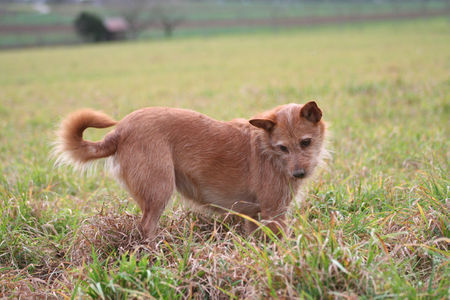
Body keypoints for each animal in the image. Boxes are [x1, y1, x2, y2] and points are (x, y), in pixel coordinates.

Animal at [54, 102, 326, 238]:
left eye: (305, 142)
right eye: (283, 148)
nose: (299, 174)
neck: (268, 149)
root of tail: (119, 130)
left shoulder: (252, 215)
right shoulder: (274, 212)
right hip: (160, 190)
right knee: (146, 227)